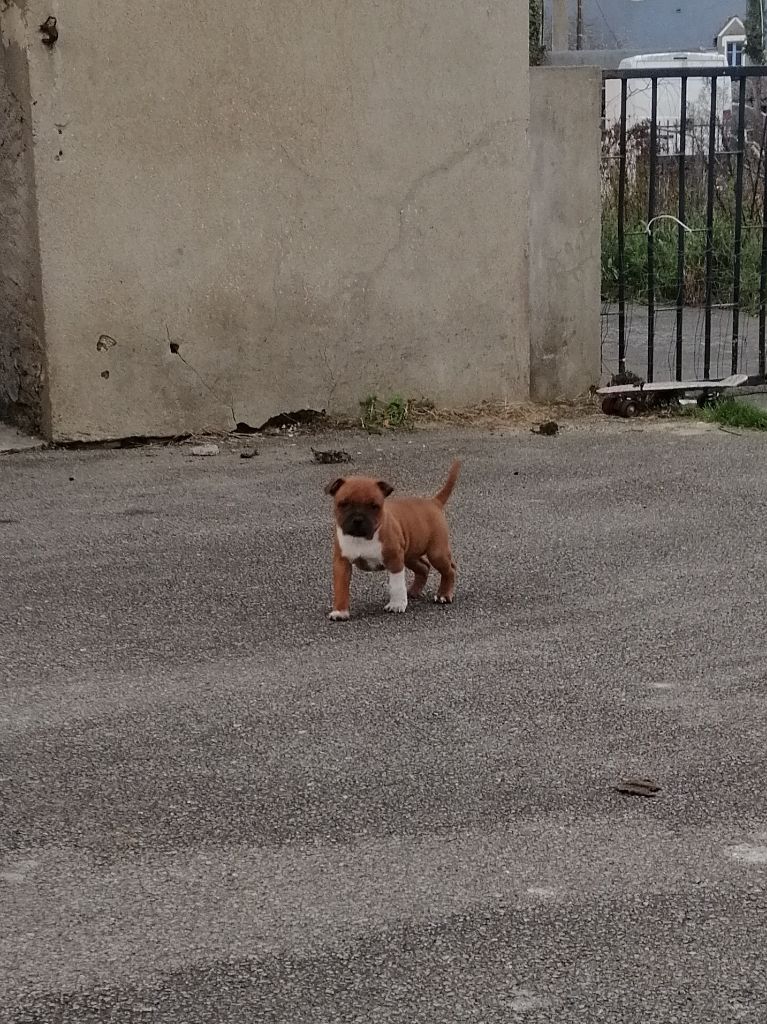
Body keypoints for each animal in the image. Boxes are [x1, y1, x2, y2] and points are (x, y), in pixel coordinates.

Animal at [323, 460, 460, 618]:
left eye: (374, 506)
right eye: (343, 504)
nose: (358, 519)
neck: (363, 538)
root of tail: (433, 502)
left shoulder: (394, 561)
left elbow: (396, 585)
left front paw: (397, 605)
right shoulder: (342, 563)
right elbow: (341, 588)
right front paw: (340, 611)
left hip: (436, 553)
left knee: (449, 570)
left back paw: (444, 594)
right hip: (409, 556)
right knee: (424, 567)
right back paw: (413, 592)